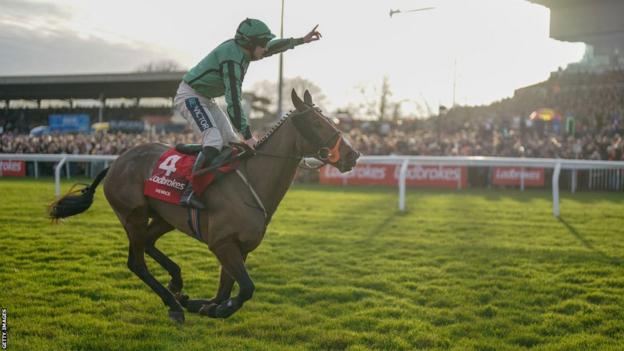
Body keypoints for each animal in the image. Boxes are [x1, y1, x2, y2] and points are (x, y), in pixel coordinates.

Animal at [47, 90, 360, 324]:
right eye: (317, 123)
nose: (353, 155)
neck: (253, 183)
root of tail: (116, 161)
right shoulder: (221, 243)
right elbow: (246, 288)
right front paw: (217, 308)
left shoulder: (240, 247)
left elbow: (226, 288)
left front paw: (205, 304)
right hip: (132, 215)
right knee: (136, 262)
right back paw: (173, 303)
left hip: (163, 217)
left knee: (148, 244)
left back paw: (177, 284)